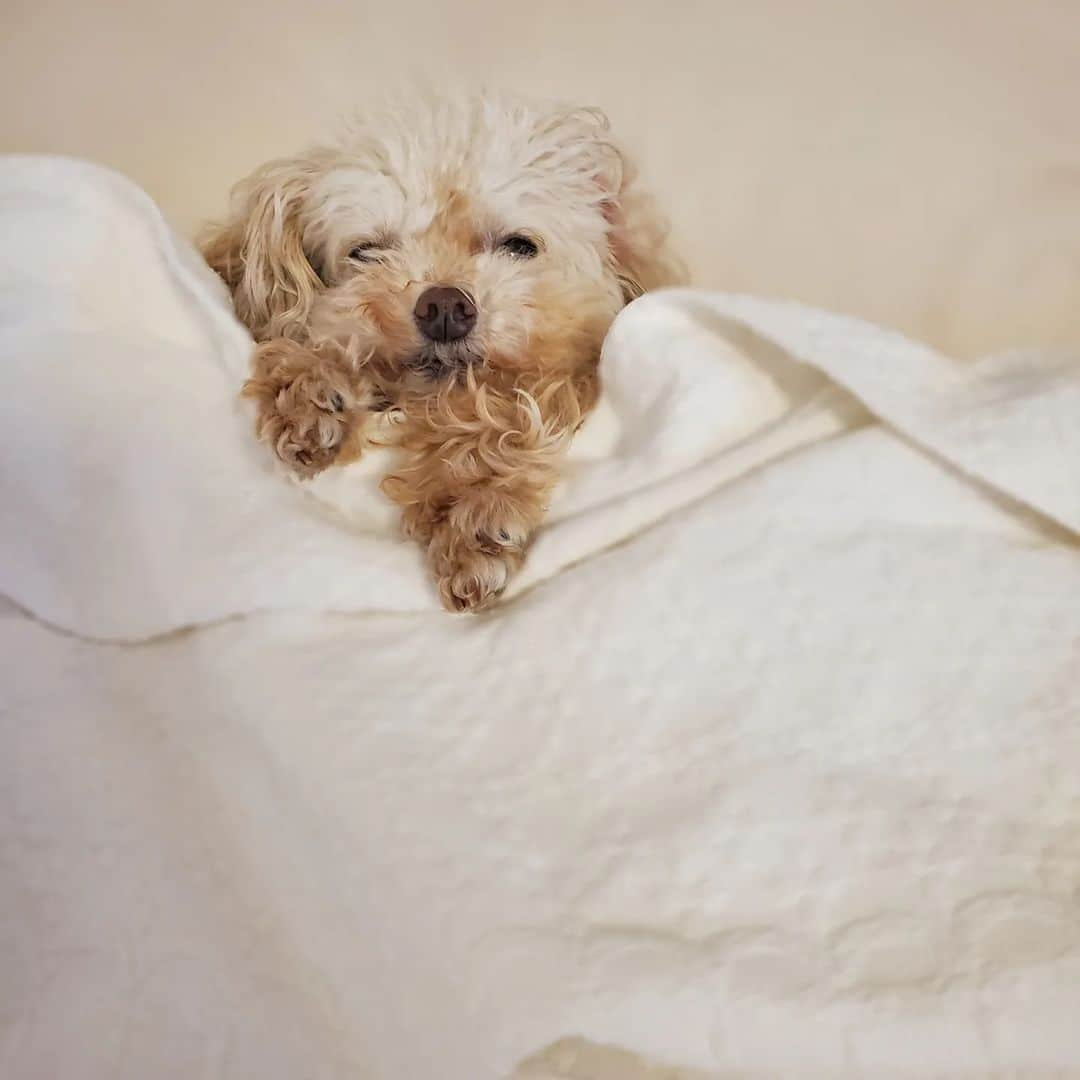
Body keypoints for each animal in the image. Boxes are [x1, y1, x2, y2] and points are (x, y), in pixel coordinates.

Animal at [198, 92, 678, 613]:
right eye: (366, 251)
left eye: (519, 246)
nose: (445, 307)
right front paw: (311, 395)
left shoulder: (569, 372)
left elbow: (508, 407)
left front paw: (476, 516)